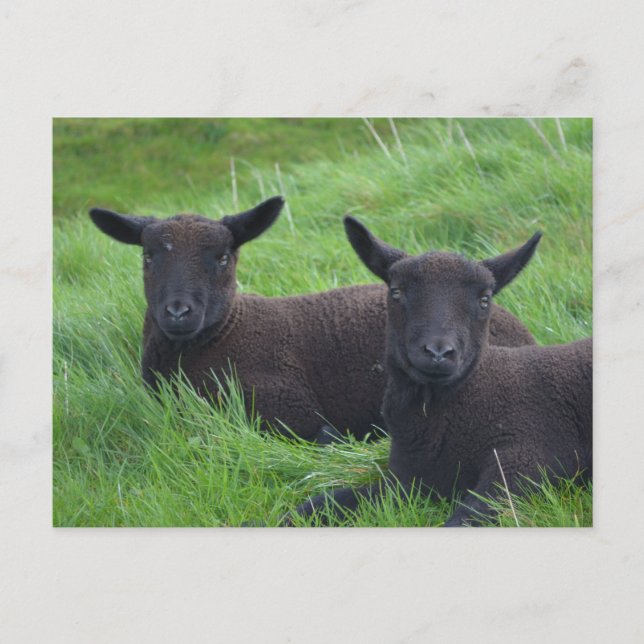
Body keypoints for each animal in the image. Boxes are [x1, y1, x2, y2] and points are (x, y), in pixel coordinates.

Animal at [290, 217, 591, 525]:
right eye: (396, 292)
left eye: (485, 299)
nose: (438, 353)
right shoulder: (407, 481)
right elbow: (324, 502)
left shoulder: (527, 457)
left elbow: (464, 520)